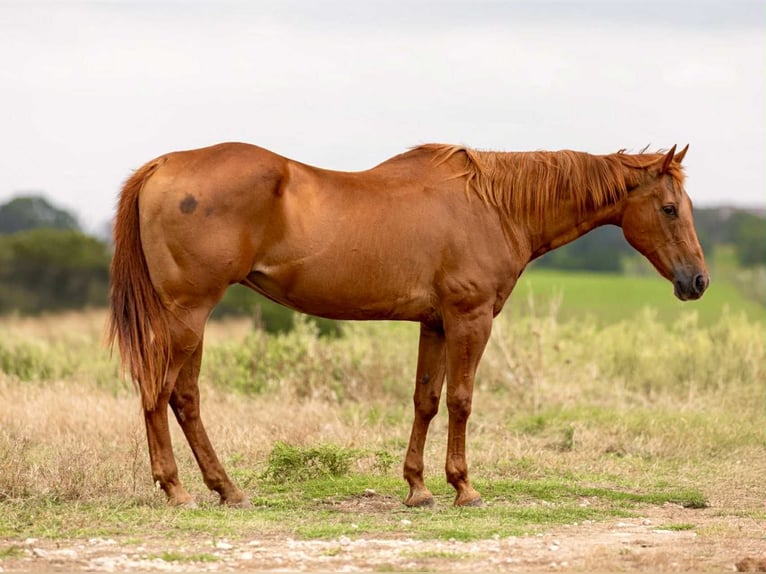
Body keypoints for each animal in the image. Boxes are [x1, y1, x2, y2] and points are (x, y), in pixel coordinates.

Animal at [108, 141, 708, 508]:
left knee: (185, 397)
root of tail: (162, 166)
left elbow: (426, 399)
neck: (494, 205)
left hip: (194, 320)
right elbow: (462, 400)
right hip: (187, 315)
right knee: (159, 392)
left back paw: (226, 489)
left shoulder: (435, 324)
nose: (698, 281)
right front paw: (464, 487)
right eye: (670, 208)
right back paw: (176, 489)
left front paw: (418, 487)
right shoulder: (470, 320)